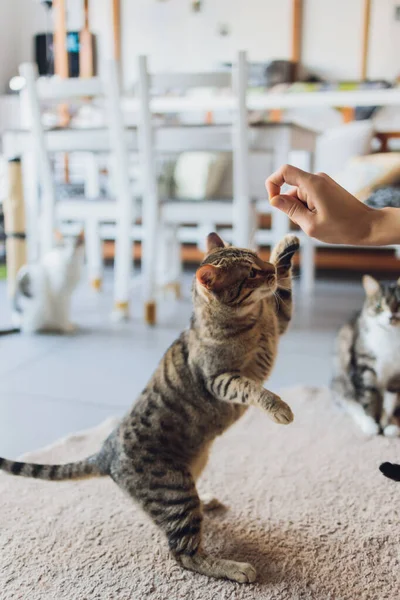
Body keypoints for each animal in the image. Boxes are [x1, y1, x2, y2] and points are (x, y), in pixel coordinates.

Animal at [0, 236, 300, 584]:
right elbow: (254, 389)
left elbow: (284, 287)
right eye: (250, 273)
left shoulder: (279, 322)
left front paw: (286, 245)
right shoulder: (220, 379)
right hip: (176, 495)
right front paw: (279, 408)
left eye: (257, 258)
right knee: (184, 554)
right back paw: (236, 568)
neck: (253, 318)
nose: (266, 270)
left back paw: (208, 502)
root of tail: (106, 451)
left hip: (190, 474)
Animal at [332, 276, 400, 436]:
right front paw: (372, 425)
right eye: (379, 306)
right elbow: (368, 398)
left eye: (399, 305)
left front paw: (387, 425)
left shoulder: (396, 377)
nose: (391, 317)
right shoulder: (363, 368)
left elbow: (389, 404)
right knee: (350, 401)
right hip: (341, 380)